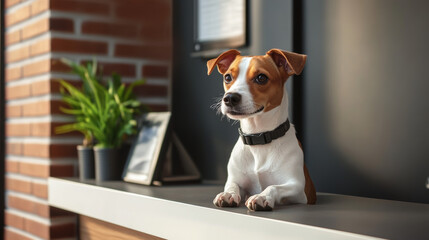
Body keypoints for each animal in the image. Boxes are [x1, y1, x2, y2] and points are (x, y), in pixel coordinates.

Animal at [206, 48, 316, 210]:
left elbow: (273, 187)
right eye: (228, 77)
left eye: (261, 78)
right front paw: (228, 194)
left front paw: (261, 196)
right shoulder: (236, 179)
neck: (258, 137)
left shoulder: (297, 188)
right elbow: (232, 185)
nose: (230, 98)